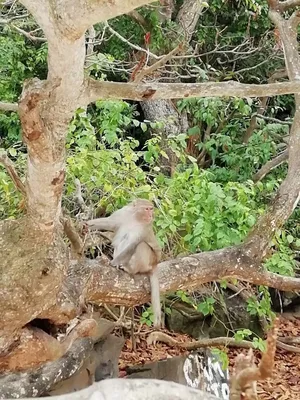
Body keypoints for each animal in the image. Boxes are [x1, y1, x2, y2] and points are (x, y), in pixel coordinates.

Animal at [85, 199, 162, 328]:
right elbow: (110, 223)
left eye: (151, 209)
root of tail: (154, 264)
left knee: (140, 245)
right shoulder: (123, 213)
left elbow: (132, 245)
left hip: (148, 262)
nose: (151, 215)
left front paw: (112, 263)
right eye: (147, 209)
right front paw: (86, 224)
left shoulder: (144, 229)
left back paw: (129, 269)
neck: (136, 218)